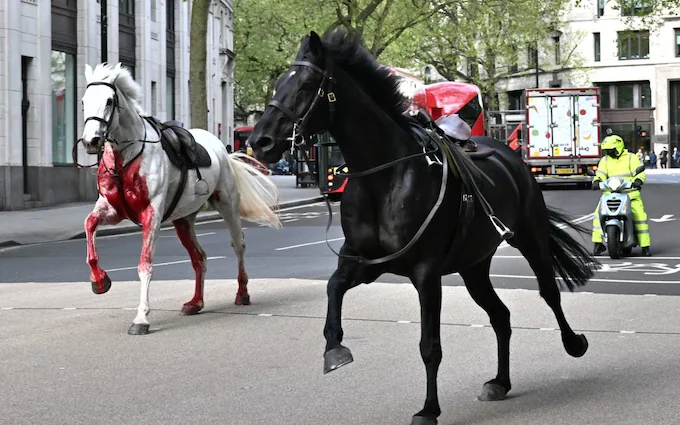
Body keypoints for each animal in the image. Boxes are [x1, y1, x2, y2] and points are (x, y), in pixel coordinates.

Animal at [79, 63, 282, 334]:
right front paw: (99, 281)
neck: (127, 156)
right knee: (199, 257)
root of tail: (222, 149)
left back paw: (242, 293)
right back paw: (195, 302)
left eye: (109, 101)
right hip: (183, 219)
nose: (91, 141)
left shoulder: (151, 213)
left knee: (238, 245)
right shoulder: (112, 210)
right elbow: (89, 225)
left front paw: (141, 318)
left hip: (227, 204)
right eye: (83, 101)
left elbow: (145, 264)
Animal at [250, 28, 600, 422]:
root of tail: (508, 153)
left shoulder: (425, 272)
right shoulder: (363, 262)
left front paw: (429, 409)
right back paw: (500, 382)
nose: (259, 141)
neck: (384, 177)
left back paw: (573, 342)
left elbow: (430, 345)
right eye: (279, 83)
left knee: (548, 292)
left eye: (306, 85)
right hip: (473, 265)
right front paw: (334, 349)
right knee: (501, 316)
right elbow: (333, 288)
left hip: (530, 236)